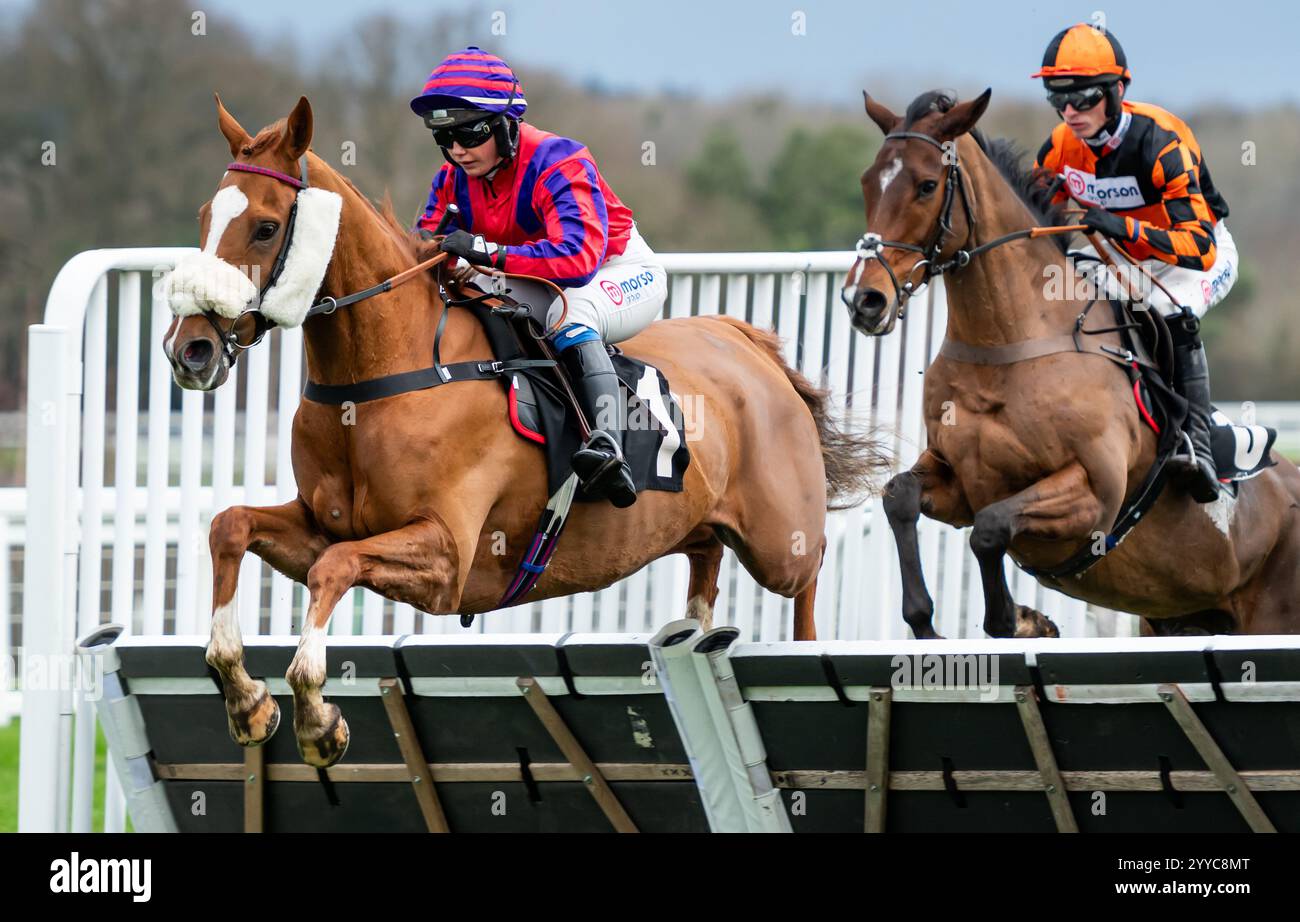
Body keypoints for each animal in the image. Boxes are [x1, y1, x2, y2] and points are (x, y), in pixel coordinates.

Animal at [167, 96, 889, 764]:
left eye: (265, 228)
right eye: (203, 217)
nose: (189, 349)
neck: (382, 374)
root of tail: (744, 341)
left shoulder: (446, 557)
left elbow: (334, 569)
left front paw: (317, 717)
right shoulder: (324, 523)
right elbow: (231, 526)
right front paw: (247, 699)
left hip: (778, 541)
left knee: (809, 567)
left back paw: (805, 647)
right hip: (699, 521)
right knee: (706, 556)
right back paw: (694, 636)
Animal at [842, 89, 1300, 637]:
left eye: (927, 185)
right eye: (868, 180)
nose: (863, 300)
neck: (1007, 346)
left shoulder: (1093, 497)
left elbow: (990, 528)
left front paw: (1017, 620)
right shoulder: (958, 480)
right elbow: (900, 496)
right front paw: (928, 621)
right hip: (1176, 618)